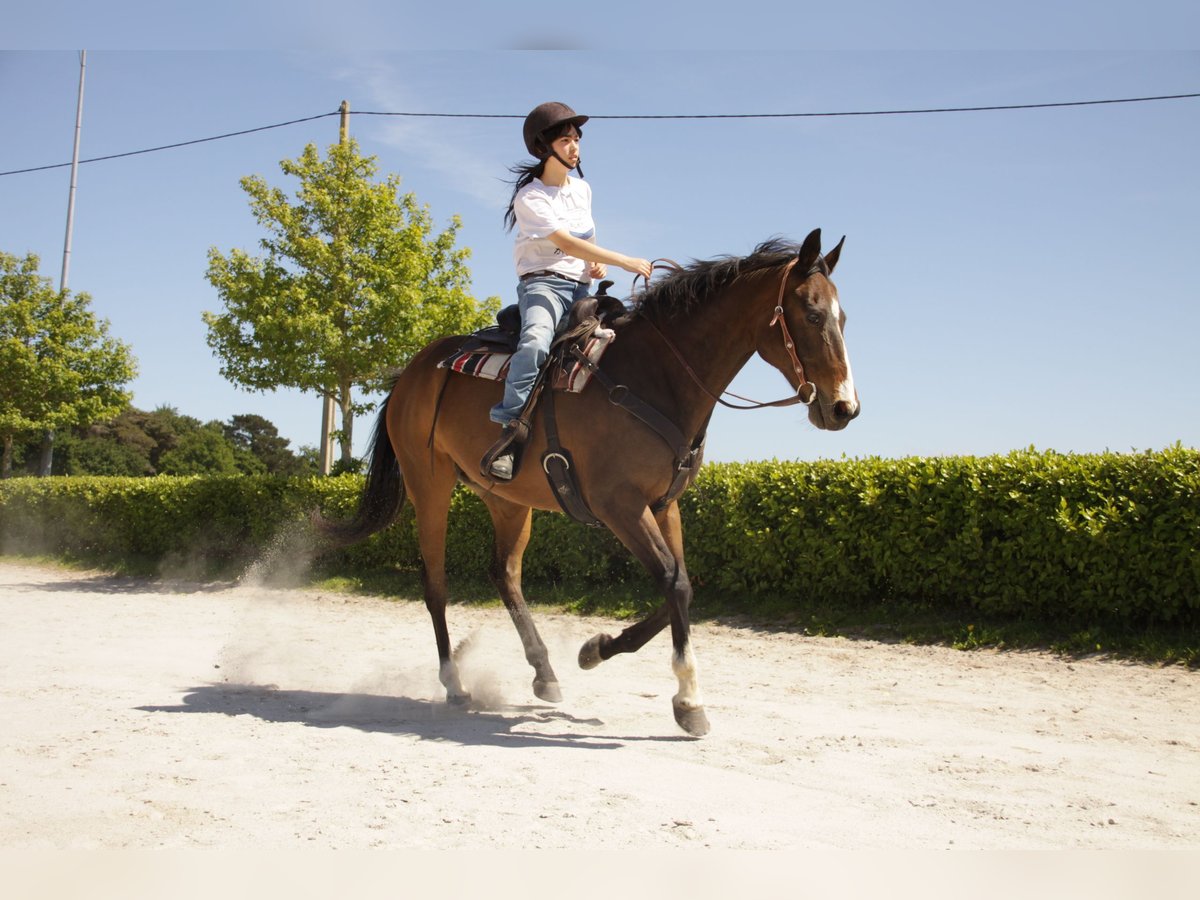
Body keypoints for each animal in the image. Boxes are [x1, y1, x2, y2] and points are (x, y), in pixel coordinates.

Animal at [319, 229, 859, 734]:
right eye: (812, 315)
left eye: (843, 318)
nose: (844, 408)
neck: (654, 376)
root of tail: (411, 372)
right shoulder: (619, 505)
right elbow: (675, 584)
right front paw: (688, 701)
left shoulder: (664, 505)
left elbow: (680, 586)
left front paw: (596, 649)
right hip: (428, 485)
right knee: (435, 585)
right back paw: (455, 682)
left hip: (508, 500)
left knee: (504, 574)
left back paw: (544, 673)